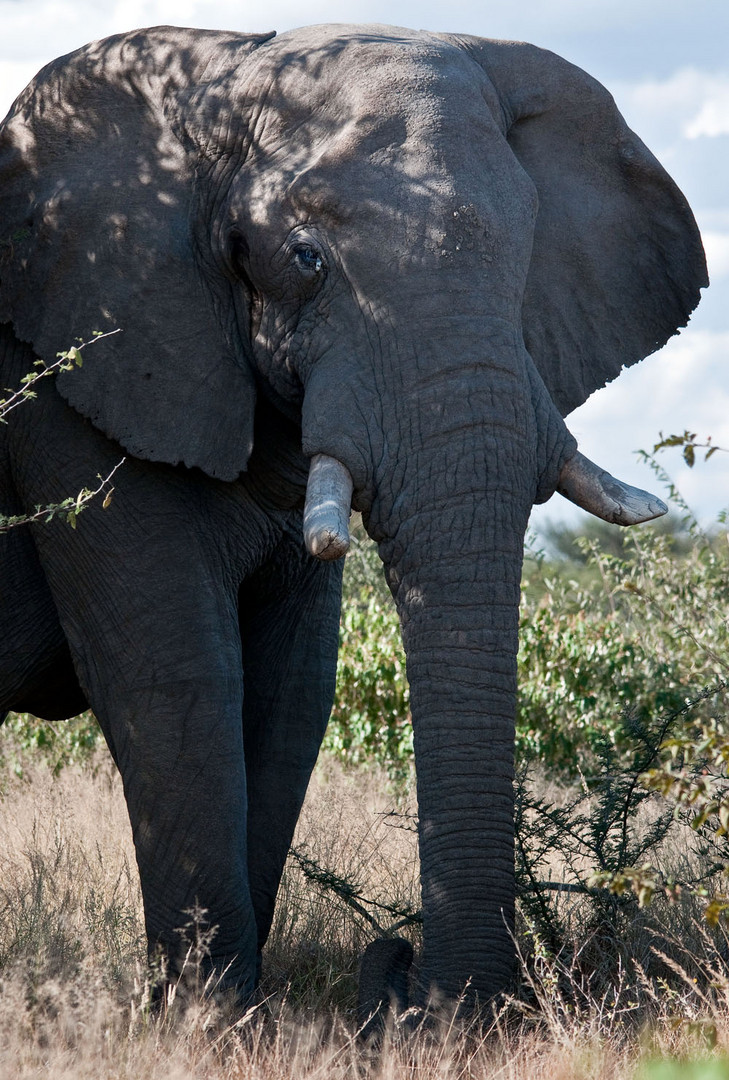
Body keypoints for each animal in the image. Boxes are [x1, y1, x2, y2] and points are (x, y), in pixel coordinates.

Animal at [0, 21, 708, 1006]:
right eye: (305, 258)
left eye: (527, 255)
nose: (401, 969)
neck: (222, 68)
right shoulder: (65, 381)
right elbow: (176, 670)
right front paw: (209, 1015)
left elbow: (292, 690)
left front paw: (231, 1007)